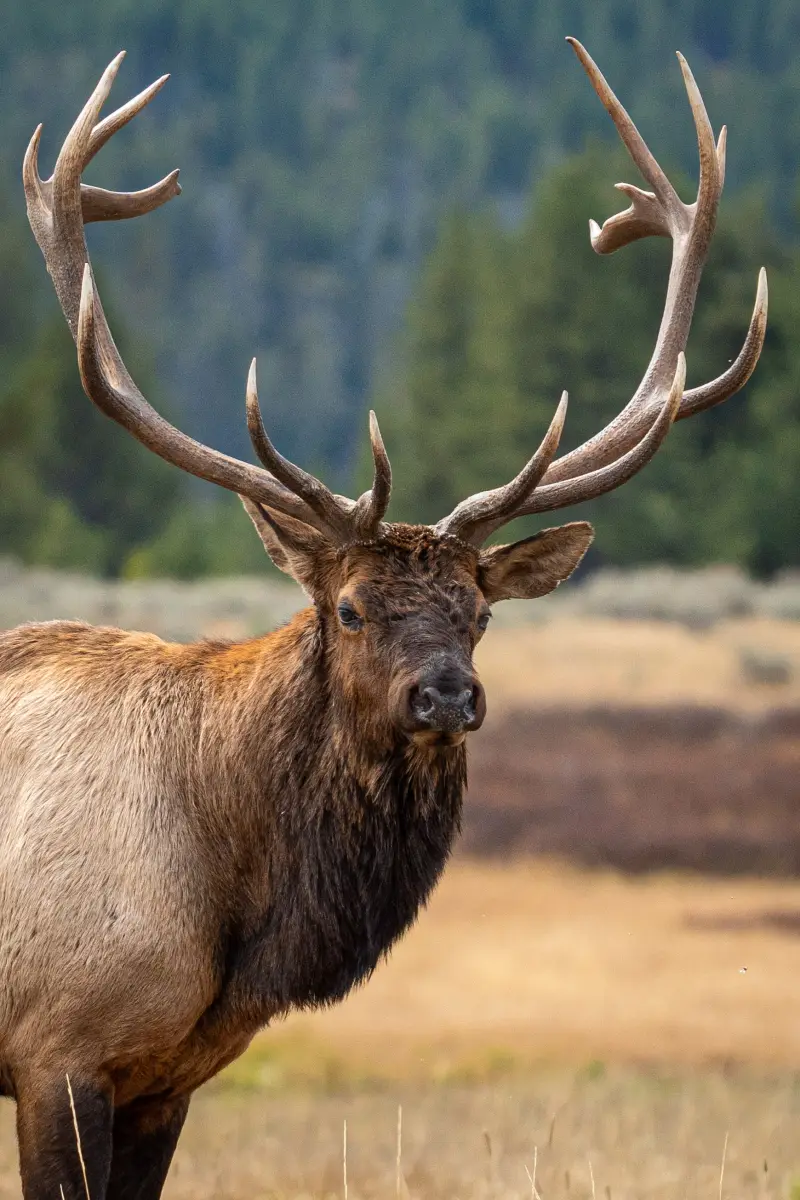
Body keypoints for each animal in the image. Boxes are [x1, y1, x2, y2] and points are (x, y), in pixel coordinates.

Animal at [2, 38, 765, 1200]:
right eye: (352, 607)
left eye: (479, 612)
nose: (447, 693)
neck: (234, 907)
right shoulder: (56, 1048)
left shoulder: (165, 1079)